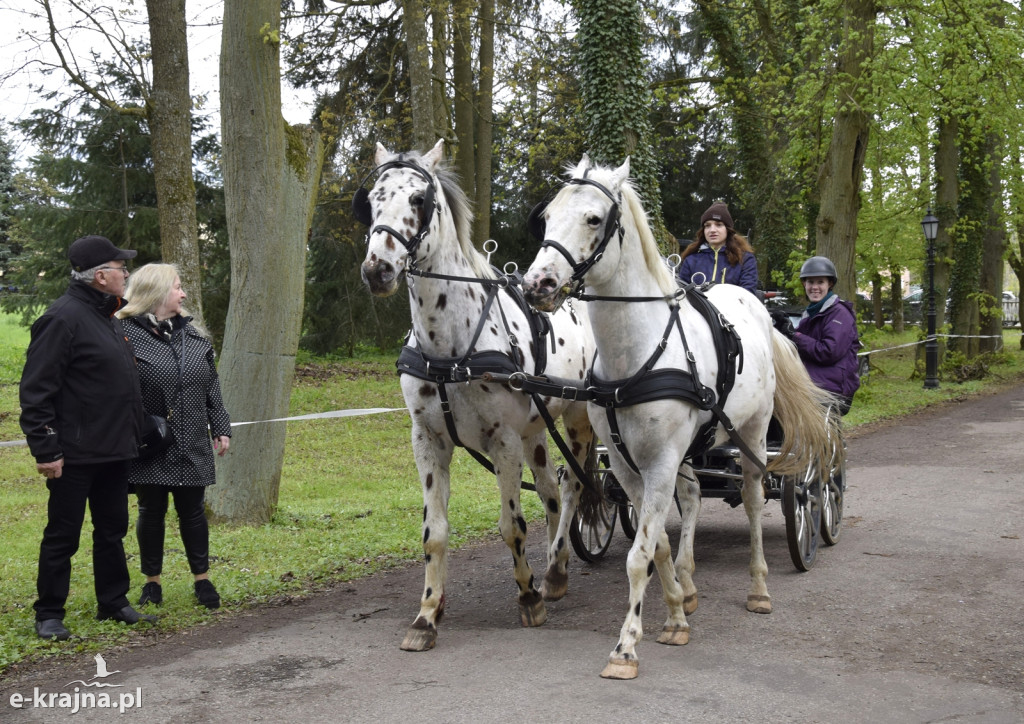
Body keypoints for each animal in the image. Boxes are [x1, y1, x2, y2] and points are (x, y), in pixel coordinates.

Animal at [356, 140, 598, 651]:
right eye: (371, 201)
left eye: (418, 200)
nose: (377, 269)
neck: (450, 348)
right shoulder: (428, 440)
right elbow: (434, 532)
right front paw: (428, 613)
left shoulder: (501, 441)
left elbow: (511, 525)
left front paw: (528, 597)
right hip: (536, 432)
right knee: (550, 492)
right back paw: (557, 567)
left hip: (580, 420)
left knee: (572, 487)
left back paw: (552, 570)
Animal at [520, 154, 839, 679]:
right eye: (546, 217)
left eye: (593, 219)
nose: (537, 284)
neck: (636, 353)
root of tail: (762, 311)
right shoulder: (629, 465)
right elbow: (657, 544)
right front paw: (674, 613)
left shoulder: (662, 460)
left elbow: (638, 556)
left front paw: (626, 646)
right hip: (693, 448)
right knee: (691, 498)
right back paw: (689, 587)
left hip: (753, 435)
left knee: (754, 501)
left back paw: (759, 588)